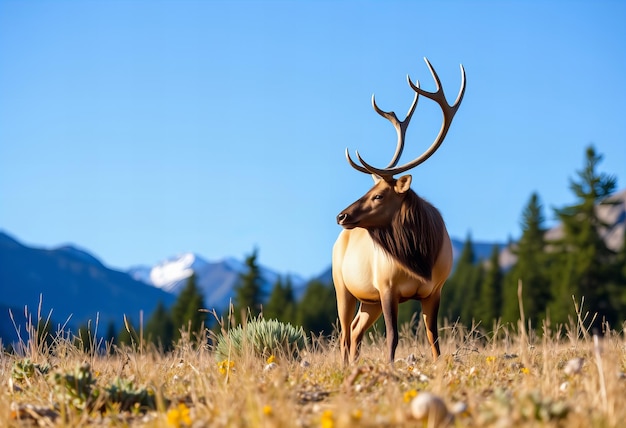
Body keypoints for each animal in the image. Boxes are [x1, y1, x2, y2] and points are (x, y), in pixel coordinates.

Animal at [332, 57, 464, 364]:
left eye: (378, 195)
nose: (341, 215)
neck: (419, 257)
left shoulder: (435, 290)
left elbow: (433, 337)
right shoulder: (387, 287)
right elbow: (393, 337)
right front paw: (390, 365)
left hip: (368, 300)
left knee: (355, 331)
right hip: (342, 287)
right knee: (344, 334)